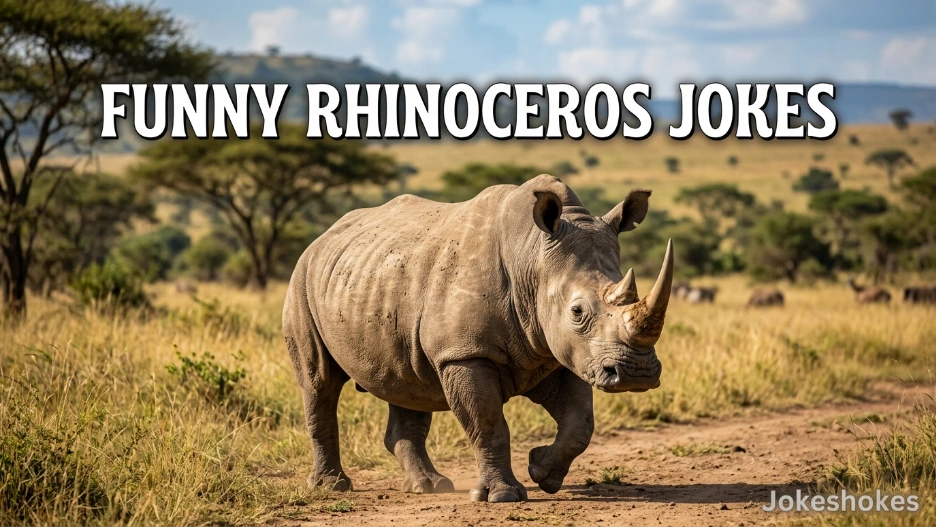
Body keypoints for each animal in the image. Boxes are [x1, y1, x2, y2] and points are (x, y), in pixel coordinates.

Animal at [283, 175, 674, 503]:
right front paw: (502, 496)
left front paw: (542, 473)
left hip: (377, 278)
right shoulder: (464, 353)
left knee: (406, 384)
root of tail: (323, 236)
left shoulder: (562, 352)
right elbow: (488, 422)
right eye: (577, 311)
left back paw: (429, 486)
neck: (532, 257)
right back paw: (333, 487)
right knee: (319, 382)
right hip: (302, 278)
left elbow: (580, 423)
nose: (636, 374)